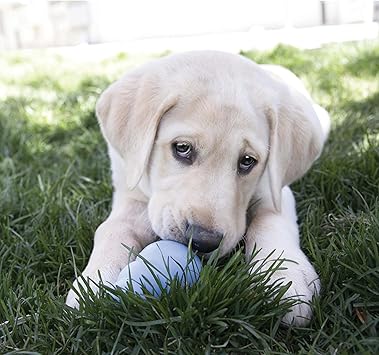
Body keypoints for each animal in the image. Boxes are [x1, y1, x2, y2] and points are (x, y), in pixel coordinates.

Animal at [66, 51, 330, 326]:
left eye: (247, 161)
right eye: (182, 148)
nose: (204, 241)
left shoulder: (274, 190)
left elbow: (270, 221)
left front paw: (285, 279)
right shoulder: (130, 191)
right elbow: (111, 228)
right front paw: (95, 282)